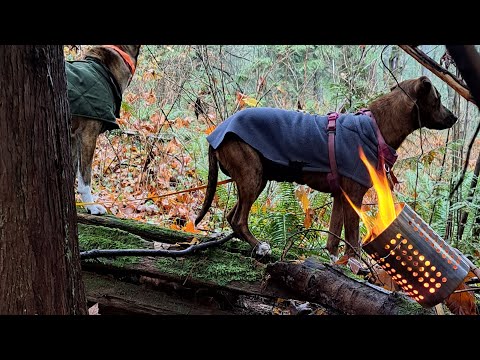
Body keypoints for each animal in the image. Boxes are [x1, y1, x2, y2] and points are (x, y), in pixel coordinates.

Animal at [194, 76, 458, 256]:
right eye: (438, 99)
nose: (454, 117)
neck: (375, 127)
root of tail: (216, 133)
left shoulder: (341, 196)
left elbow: (333, 238)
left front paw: (333, 260)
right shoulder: (354, 196)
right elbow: (352, 238)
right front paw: (355, 264)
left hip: (257, 178)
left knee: (232, 217)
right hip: (252, 175)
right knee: (239, 219)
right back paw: (260, 245)